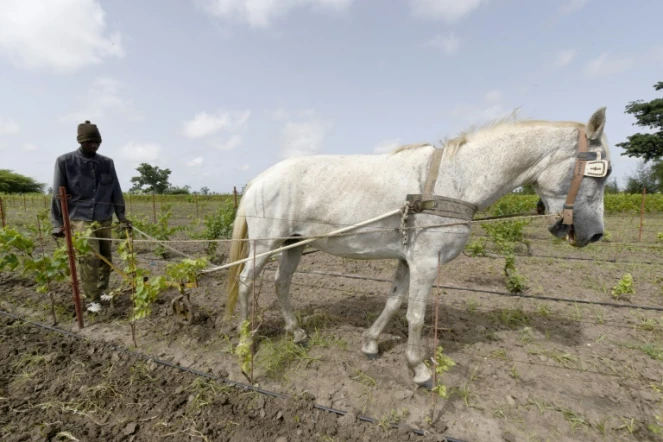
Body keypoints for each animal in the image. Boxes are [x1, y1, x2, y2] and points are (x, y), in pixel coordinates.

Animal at [223, 109, 612, 388]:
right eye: (602, 173)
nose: (594, 234)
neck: (454, 181)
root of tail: (259, 178)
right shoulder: (426, 262)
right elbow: (417, 315)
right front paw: (419, 368)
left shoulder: (408, 260)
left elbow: (394, 301)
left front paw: (370, 343)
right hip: (265, 244)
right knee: (246, 282)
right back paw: (244, 344)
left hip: (293, 244)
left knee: (281, 285)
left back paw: (298, 333)